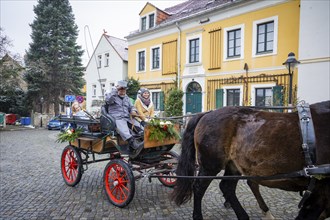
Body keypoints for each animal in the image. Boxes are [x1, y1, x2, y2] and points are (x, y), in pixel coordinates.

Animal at [171, 100, 328, 219]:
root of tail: (207, 113)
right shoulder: (320, 190)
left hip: (233, 165)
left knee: (227, 187)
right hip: (210, 166)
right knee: (198, 187)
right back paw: (198, 215)